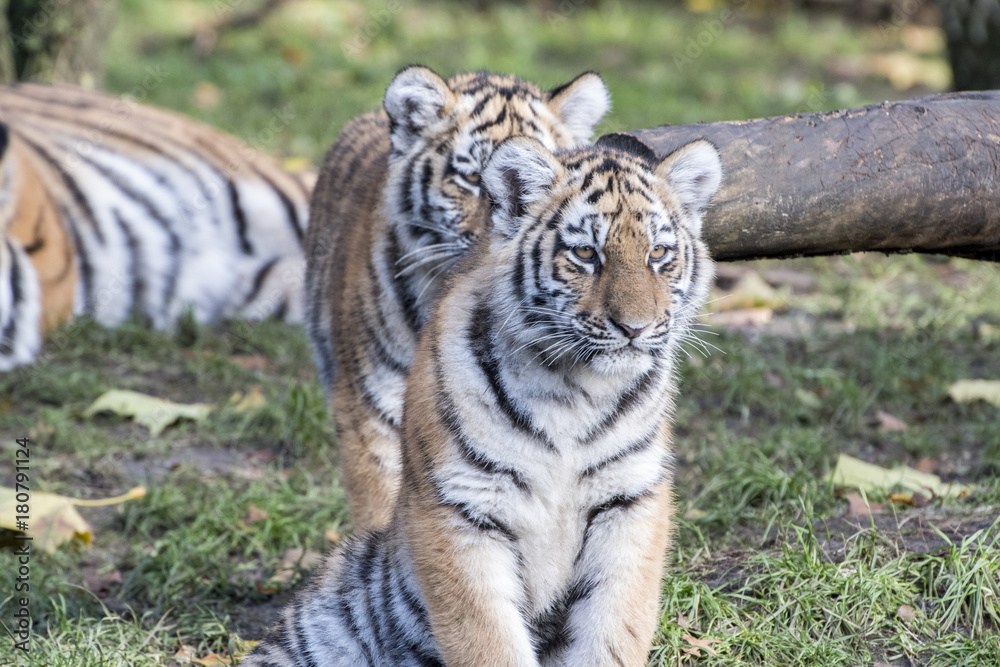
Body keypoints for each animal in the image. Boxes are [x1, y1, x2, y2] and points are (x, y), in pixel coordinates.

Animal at [243, 133, 723, 667]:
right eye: (585, 253)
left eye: (658, 253)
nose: (636, 328)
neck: (576, 389)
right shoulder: (461, 509)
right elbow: (487, 640)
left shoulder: (629, 499)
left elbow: (613, 633)